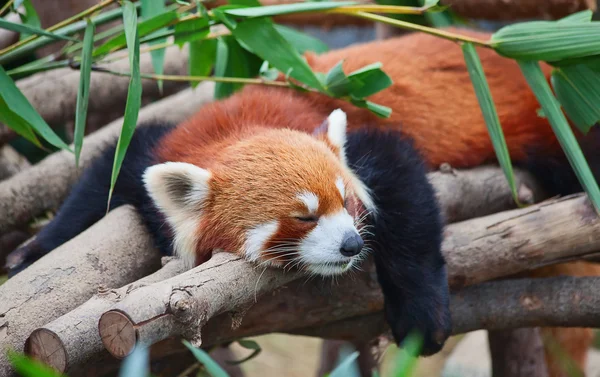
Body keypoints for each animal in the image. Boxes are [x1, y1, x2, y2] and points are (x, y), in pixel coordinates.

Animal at [5, 27, 600, 374]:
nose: (351, 245)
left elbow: (408, 206)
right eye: (302, 217)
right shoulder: (166, 141)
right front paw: (32, 252)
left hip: (559, 122)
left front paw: (420, 316)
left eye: (347, 206)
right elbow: (101, 179)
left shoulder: (372, 141)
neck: (242, 123)